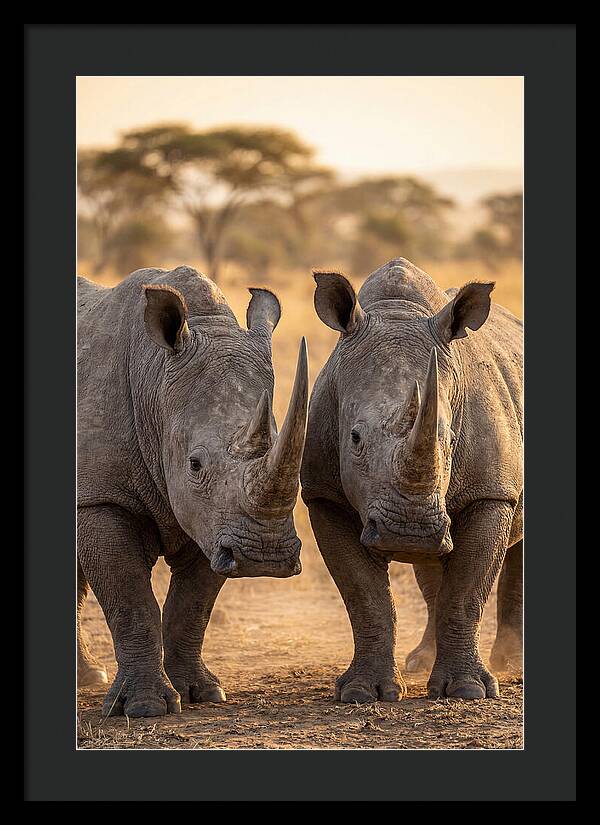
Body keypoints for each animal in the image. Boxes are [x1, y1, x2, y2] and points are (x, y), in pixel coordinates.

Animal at [77, 265, 308, 718]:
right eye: (195, 465)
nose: (265, 557)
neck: (155, 378)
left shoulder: (216, 522)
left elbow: (192, 605)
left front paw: (200, 693)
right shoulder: (99, 496)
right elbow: (130, 599)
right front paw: (144, 708)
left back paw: (87, 677)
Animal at [301, 258, 522, 702]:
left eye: (450, 439)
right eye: (354, 438)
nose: (410, 531)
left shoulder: (492, 493)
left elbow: (467, 592)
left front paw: (468, 691)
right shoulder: (323, 495)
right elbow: (365, 597)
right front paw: (363, 692)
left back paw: (512, 662)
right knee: (432, 568)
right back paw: (421, 661)